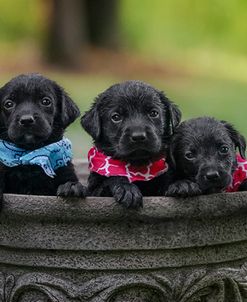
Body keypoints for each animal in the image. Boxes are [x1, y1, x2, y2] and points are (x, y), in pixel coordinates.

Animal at [0, 74, 86, 209]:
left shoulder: (66, 171)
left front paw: (72, 186)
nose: (26, 120)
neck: (31, 155)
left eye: (46, 101)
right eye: (8, 104)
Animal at [82, 79, 180, 208]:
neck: (137, 168)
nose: (138, 137)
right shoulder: (95, 190)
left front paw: (182, 184)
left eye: (153, 113)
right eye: (116, 117)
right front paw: (127, 189)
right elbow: (113, 179)